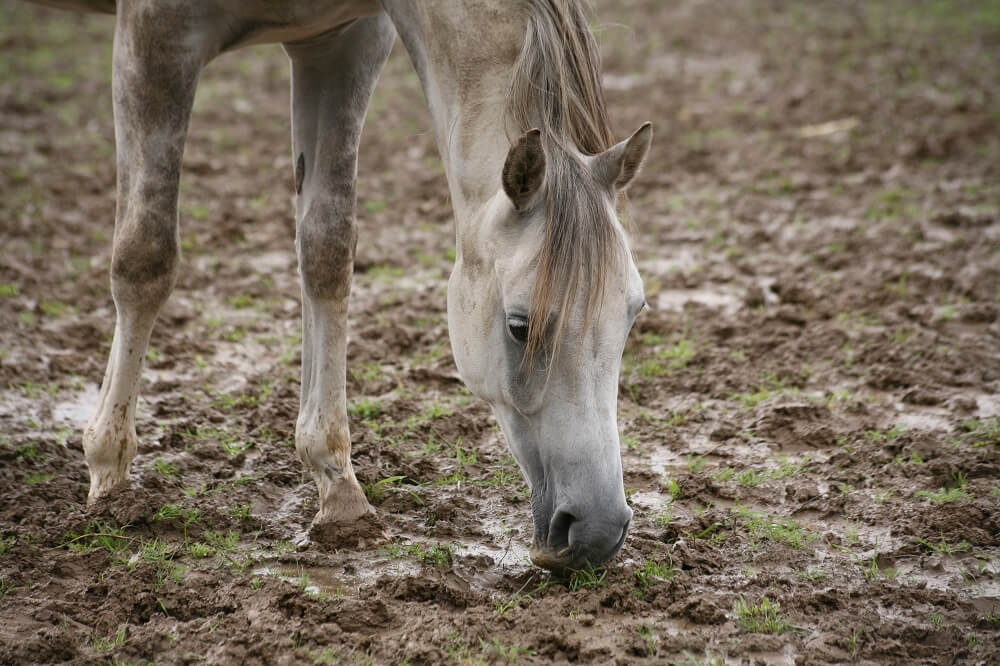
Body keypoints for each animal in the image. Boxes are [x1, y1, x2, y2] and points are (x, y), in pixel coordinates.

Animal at [27, 0, 652, 572]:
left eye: (633, 314)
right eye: (520, 326)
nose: (598, 531)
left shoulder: (340, 42)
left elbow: (327, 252)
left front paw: (340, 492)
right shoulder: (155, 36)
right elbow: (144, 257)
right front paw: (109, 475)